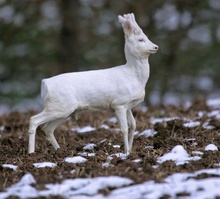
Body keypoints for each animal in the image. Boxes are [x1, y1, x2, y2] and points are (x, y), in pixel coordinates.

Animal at [27, 13, 158, 155]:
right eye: (141, 39)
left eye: (147, 37)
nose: (156, 46)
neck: (133, 76)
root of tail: (45, 84)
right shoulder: (119, 103)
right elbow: (124, 128)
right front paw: (126, 153)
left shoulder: (128, 105)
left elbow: (133, 125)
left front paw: (130, 150)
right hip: (58, 106)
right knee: (34, 120)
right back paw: (31, 153)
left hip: (64, 110)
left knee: (48, 128)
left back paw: (59, 150)